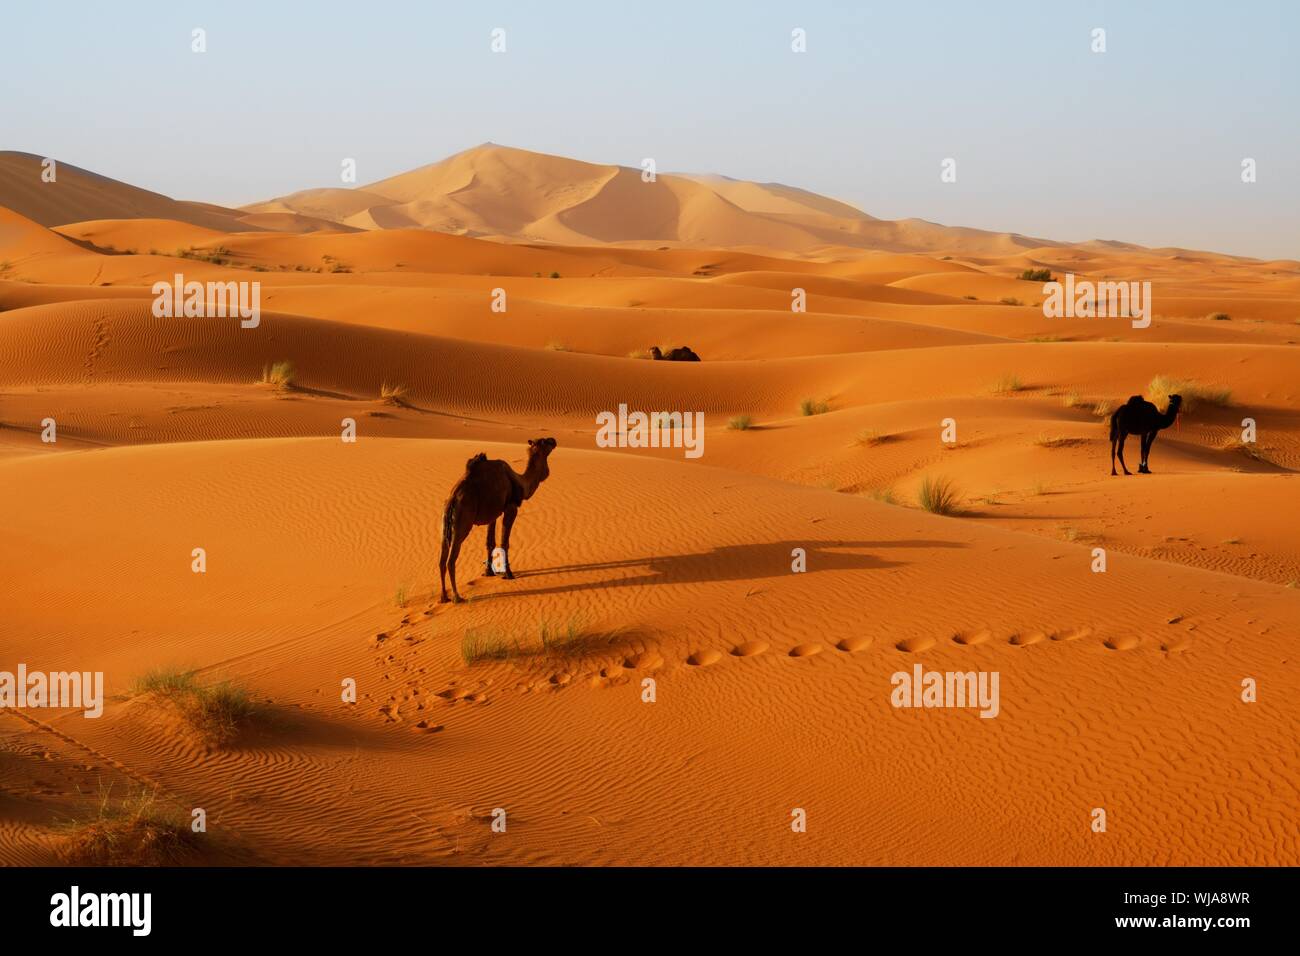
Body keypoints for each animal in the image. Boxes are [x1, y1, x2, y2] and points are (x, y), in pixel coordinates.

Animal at [439, 437, 556, 600]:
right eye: (545, 441)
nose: (554, 440)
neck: (520, 483)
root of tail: (452, 499)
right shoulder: (511, 508)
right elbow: (504, 542)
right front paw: (508, 574)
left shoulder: (493, 513)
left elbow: (490, 543)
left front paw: (489, 572)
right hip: (463, 522)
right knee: (451, 560)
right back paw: (457, 597)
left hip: (445, 524)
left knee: (442, 559)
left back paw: (444, 597)